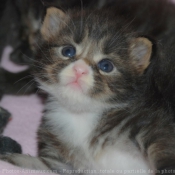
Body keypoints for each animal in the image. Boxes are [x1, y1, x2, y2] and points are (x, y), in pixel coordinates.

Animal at [1, 0, 175, 174]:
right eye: (68, 51)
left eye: (106, 66)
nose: (80, 70)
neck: (81, 115)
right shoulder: (62, 163)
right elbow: (32, 164)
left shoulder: (153, 127)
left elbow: (165, 151)